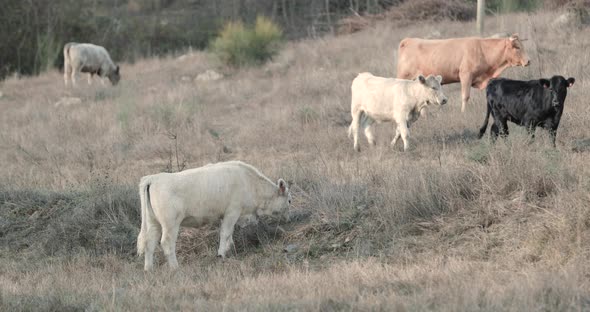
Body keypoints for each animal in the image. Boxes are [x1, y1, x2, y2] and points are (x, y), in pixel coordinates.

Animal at [135, 161, 292, 270]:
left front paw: (229, 248)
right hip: (170, 224)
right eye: (289, 200)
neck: (249, 182)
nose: (288, 218)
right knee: (167, 243)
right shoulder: (232, 212)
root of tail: (153, 178)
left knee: (149, 243)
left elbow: (229, 234)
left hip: (153, 222)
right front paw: (221, 254)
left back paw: (149, 269)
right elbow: (225, 233)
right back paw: (175, 267)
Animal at [398, 34, 532, 112]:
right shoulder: (466, 75)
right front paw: (463, 112)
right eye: (517, 47)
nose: (528, 61)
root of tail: (408, 41)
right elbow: (465, 96)